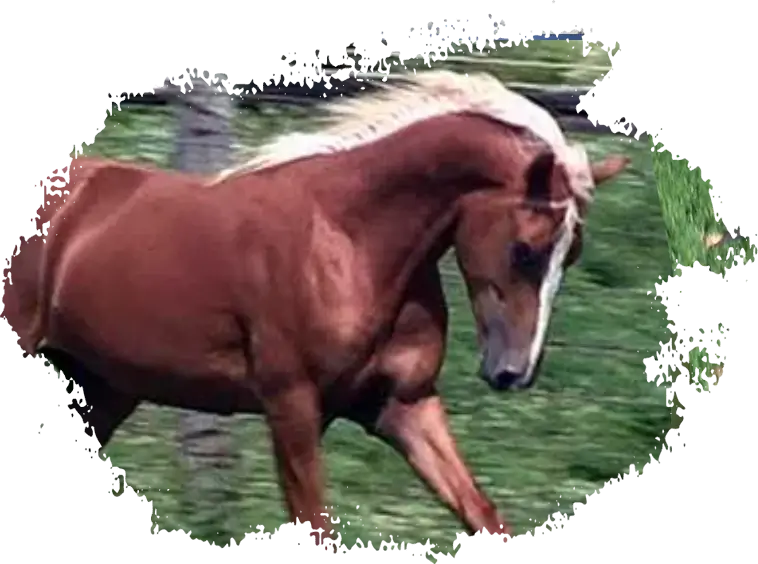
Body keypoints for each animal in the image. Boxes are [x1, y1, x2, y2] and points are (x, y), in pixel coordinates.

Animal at [3, 70, 629, 549]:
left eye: (571, 254)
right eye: (526, 250)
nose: (513, 372)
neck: (348, 239)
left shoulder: (401, 404)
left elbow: (482, 515)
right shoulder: (292, 407)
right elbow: (319, 532)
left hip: (102, 392)